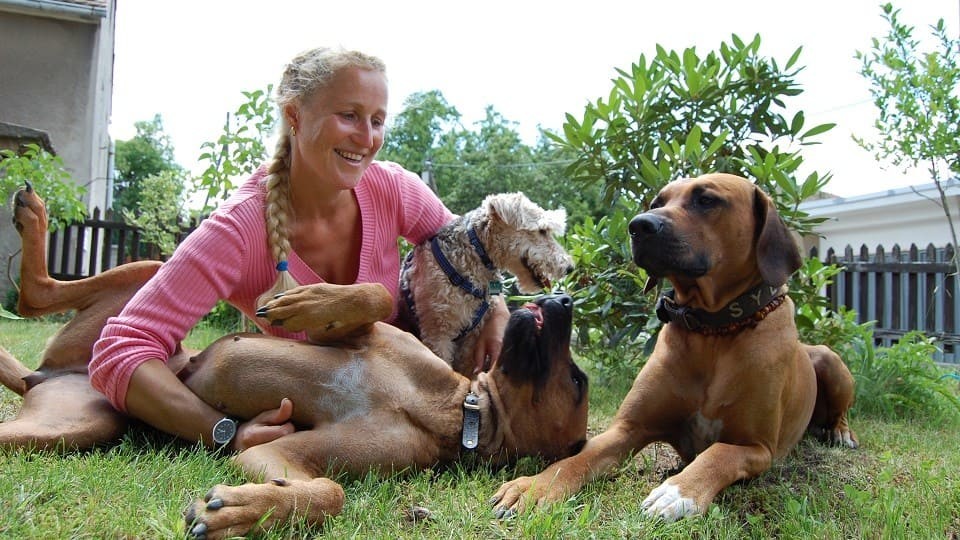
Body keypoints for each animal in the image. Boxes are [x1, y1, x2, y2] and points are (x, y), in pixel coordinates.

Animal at [0, 184, 588, 536]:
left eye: (577, 379)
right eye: (542, 230)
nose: (565, 297)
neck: (457, 409)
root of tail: (48, 375)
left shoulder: (282, 456)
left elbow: (329, 490)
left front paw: (243, 512)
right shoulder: (384, 332)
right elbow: (372, 297)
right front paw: (307, 302)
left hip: (67, 427)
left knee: (32, 309)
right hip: (141, 274)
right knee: (39, 296)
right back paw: (31, 212)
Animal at [492, 173, 860, 520]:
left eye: (706, 200)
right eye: (658, 201)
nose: (639, 225)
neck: (714, 331)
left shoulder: (757, 447)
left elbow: (718, 453)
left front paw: (679, 491)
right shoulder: (626, 429)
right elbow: (574, 460)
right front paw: (534, 487)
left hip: (829, 358)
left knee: (839, 410)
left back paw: (841, 433)